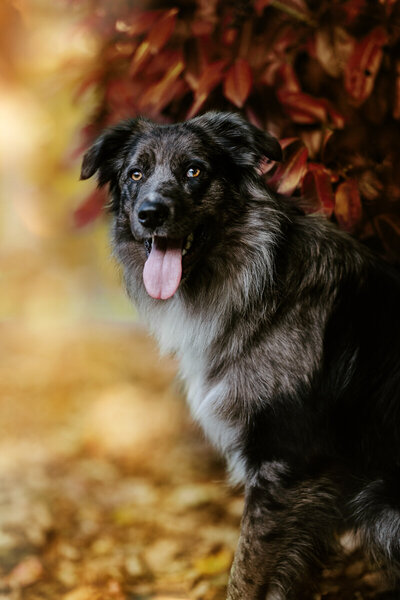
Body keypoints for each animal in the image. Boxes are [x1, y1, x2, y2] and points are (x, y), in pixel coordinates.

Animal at [80, 112, 400, 600]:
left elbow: (246, 573)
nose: (150, 214)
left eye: (194, 171)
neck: (261, 285)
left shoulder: (285, 464)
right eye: (135, 174)